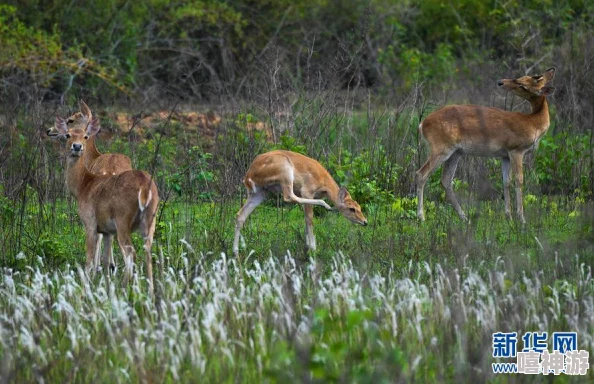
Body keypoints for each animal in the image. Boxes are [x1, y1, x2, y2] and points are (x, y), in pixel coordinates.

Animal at [52, 116, 158, 292]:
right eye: (68, 135)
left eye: (85, 136)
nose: (77, 146)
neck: (83, 186)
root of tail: (145, 186)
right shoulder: (108, 231)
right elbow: (106, 261)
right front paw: (106, 288)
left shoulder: (90, 222)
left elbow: (89, 259)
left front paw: (86, 288)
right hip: (150, 219)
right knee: (148, 251)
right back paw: (149, 292)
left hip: (123, 218)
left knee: (131, 253)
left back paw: (124, 288)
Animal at [231, 150, 366, 258]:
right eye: (351, 209)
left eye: (359, 207)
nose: (365, 221)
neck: (324, 184)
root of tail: (248, 176)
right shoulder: (307, 192)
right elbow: (309, 219)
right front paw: (312, 248)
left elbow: (306, 219)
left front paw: (307, 246)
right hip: (285, 173)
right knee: (289, 197)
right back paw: (325, 205)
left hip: (261, 192)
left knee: (240, 215)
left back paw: (236, 253)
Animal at [414, 66, 552, 224]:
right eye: (521, 80)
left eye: (523, 84)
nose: (501, 82)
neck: (533, 124)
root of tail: (422, 124)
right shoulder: (516, 150)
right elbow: (519, 180)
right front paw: (522, 219)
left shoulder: (505, 155)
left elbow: (506, 181)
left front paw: (508, 217)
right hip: (441, 148)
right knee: (421, 174)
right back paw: (421, 217)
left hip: (456, 153)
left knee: (446, 180)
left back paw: (465, 218)